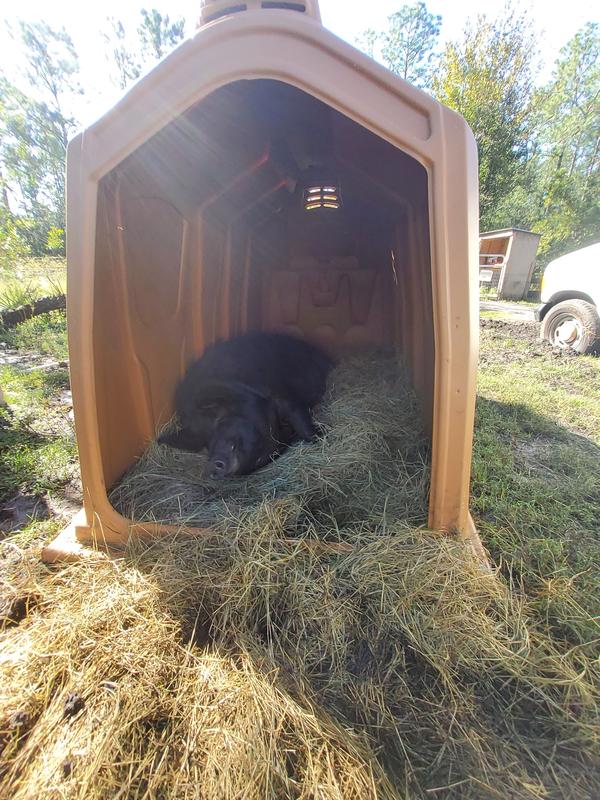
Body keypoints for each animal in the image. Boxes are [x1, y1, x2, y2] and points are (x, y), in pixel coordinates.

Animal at [158, 331, 333, 478]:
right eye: (204, 442)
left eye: (219, 421)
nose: (211, 466)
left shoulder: (279, 397)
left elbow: (300, 420)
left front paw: (321, 438)